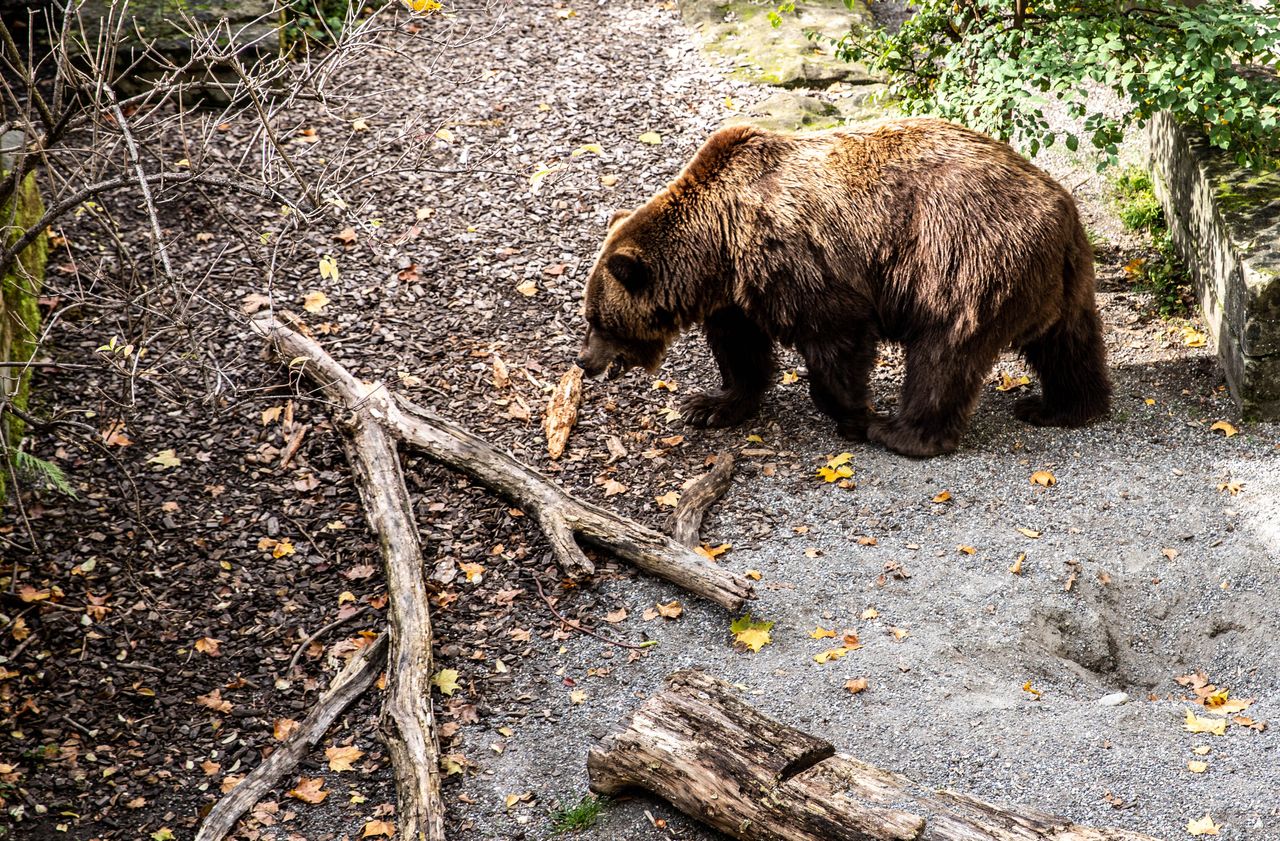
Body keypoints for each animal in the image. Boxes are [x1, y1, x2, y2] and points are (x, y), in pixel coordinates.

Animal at [576, 118, 1111, 457]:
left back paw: (899, 432)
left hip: (964, 261)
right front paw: (708, 405)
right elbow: (740, 349)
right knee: (1068, 343)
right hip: (1064, 279)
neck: (719, 246)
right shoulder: (739, 293)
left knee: (945, 351)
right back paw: (1061, 407)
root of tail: (1060, 210)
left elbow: (836, 338)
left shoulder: (795, 261)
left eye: (597, 319)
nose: (584, 361)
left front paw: (852, 413)